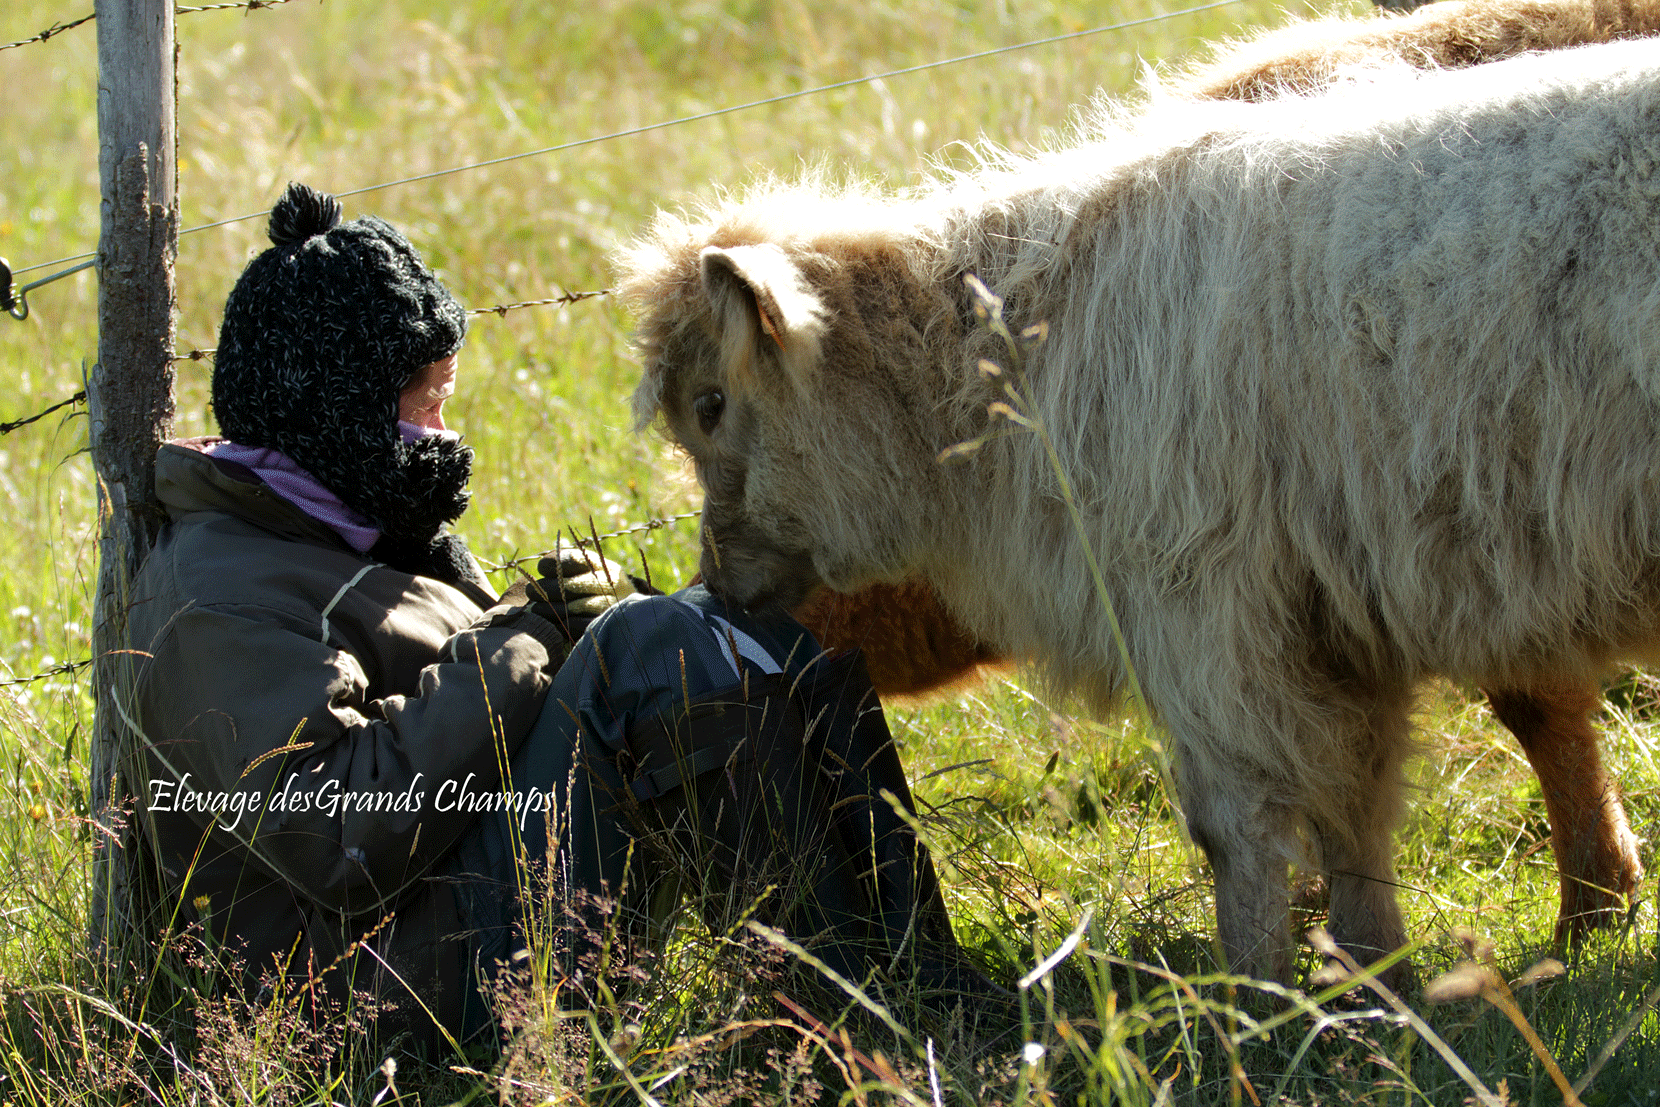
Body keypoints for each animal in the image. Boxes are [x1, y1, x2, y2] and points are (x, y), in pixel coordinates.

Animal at [620, 39, 1660, 982]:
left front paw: (1254, 998)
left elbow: (1240, 826)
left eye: (710, 405)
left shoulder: (1204, 609)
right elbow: (1352, 811)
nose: (716, 576)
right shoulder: (1329, 622)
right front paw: (1373, 984)